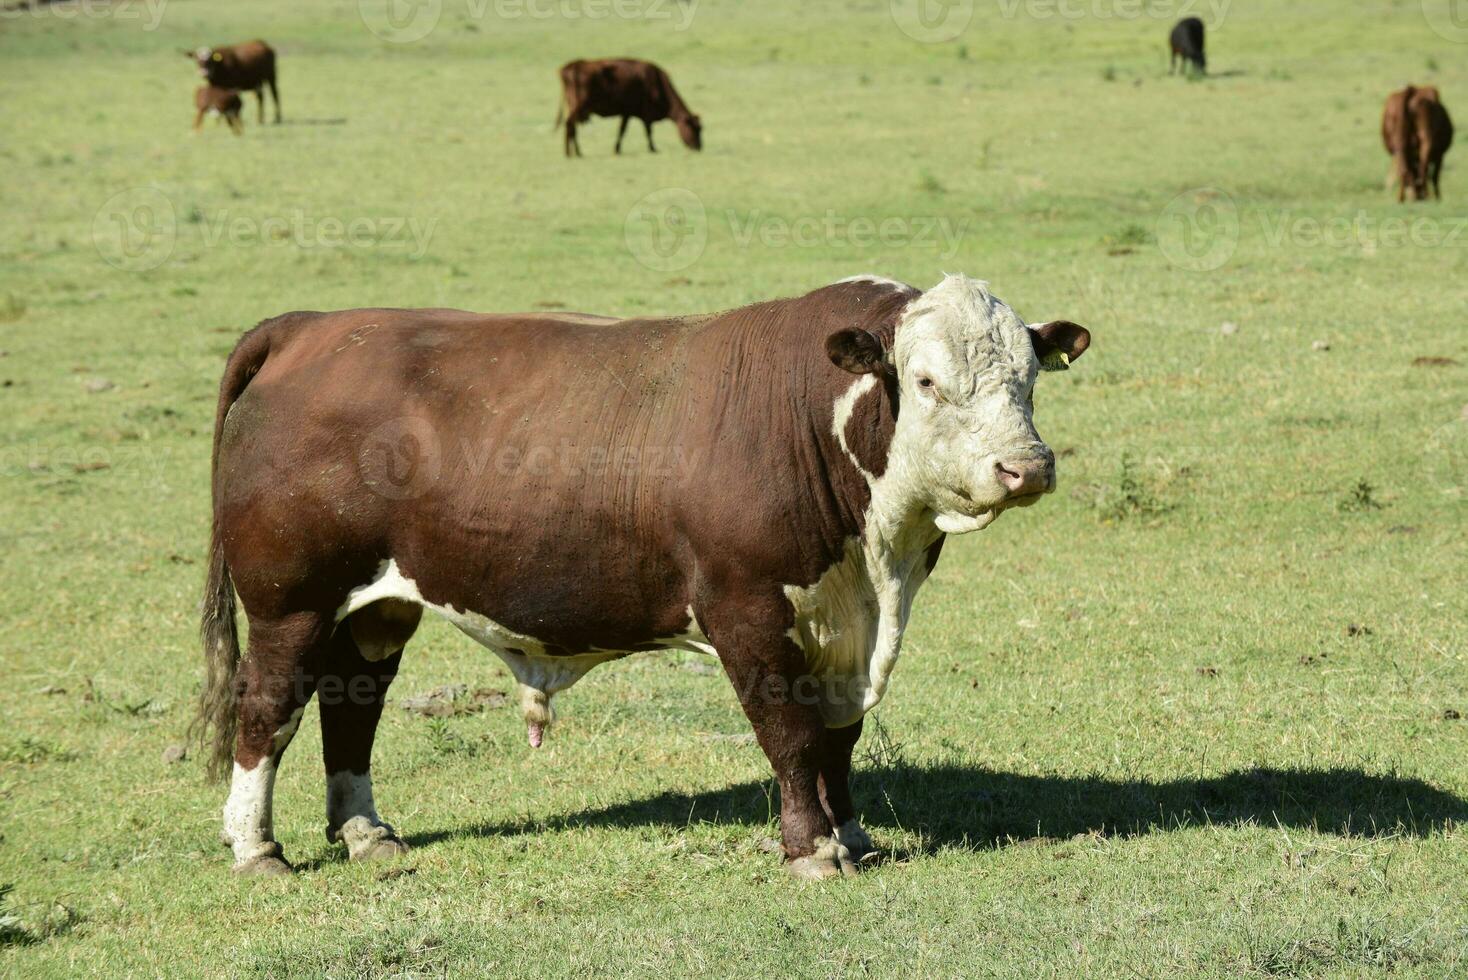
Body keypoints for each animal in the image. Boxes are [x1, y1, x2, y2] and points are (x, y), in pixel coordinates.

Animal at [192, 275, 1092, 880]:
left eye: (1029, 377)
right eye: (929, 381)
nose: (1026, 467)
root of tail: (312, 326)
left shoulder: (847, 627)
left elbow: (838, 739)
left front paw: (853, 835)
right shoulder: (745, 609)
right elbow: (791, 734)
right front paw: (811, 849)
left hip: (374, 608)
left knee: (353, 707)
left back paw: (366, 832)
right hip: (292, 601)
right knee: (267, 707)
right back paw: (257, 847)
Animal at [554, 58, 704, 156]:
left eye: (701, 128)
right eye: (694, 129)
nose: (699, 147)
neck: (657, 83)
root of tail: (572, 65)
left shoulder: (627, 113)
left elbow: (622, 131)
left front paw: (617, 149)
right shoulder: (644, 113)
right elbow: (647, 131)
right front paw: (653, 148)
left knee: (572, 128)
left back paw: (577, 152)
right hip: (578, 106)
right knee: (570, 125)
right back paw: (570, 153)